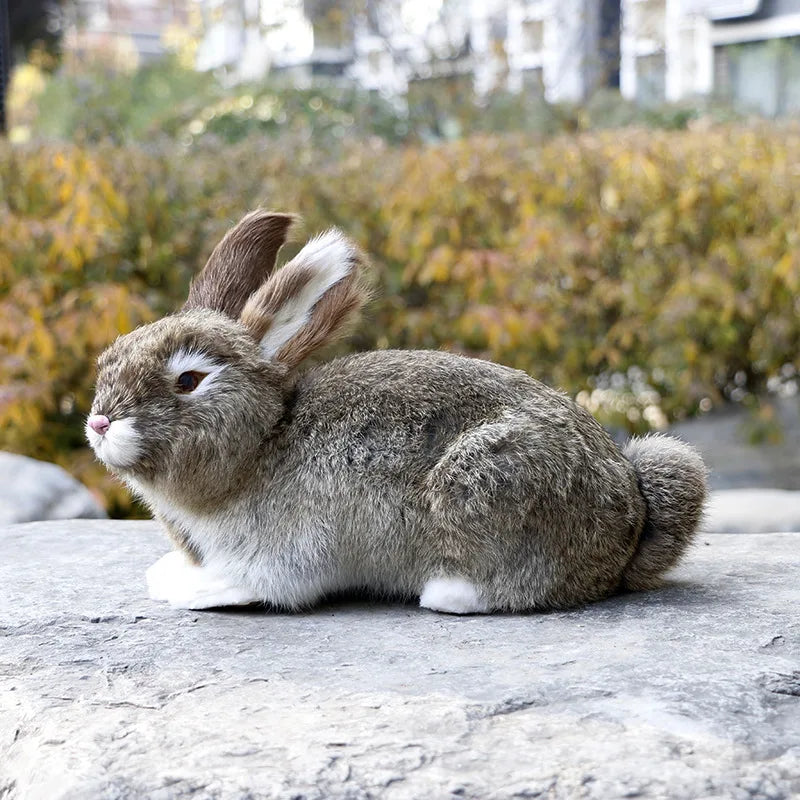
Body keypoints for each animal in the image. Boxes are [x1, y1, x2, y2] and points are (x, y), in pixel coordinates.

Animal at [86, 210, 707, 613]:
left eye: (189, 380)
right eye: (110, 356)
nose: (99, 422)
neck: (261, 443)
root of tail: (628, 521)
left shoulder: (285, 552)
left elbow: (267, 584)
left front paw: (197, 590)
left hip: (486, 484)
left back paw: (445, 593)